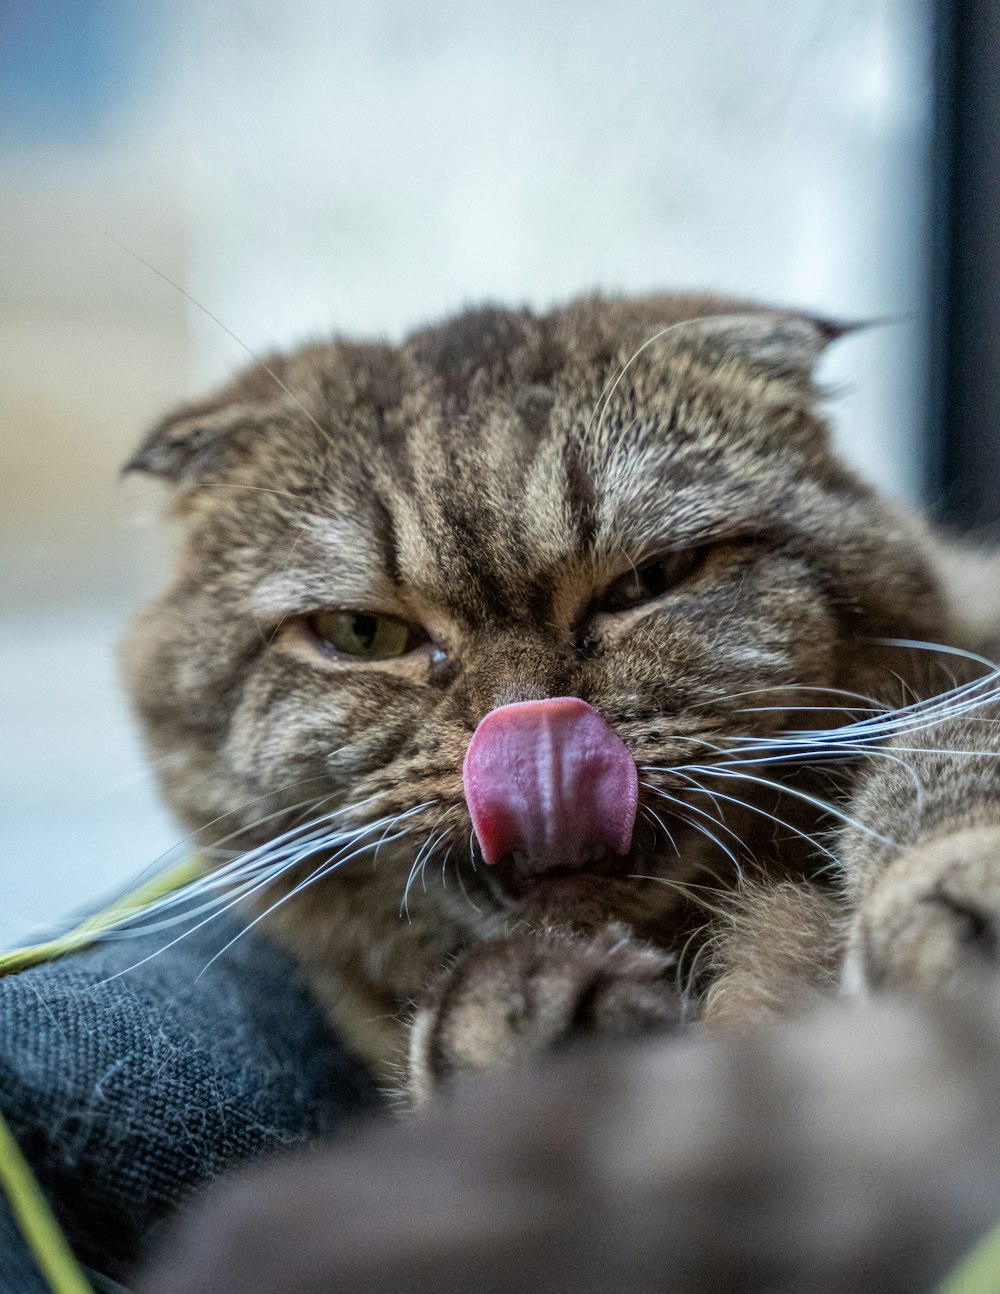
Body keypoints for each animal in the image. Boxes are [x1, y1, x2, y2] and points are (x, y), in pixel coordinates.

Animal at [120, 296, 998, 1102]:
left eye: (651, 580)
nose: (533, 730)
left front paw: (956, 898)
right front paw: (520, 1027)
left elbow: (949, 752)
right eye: (363, 633)